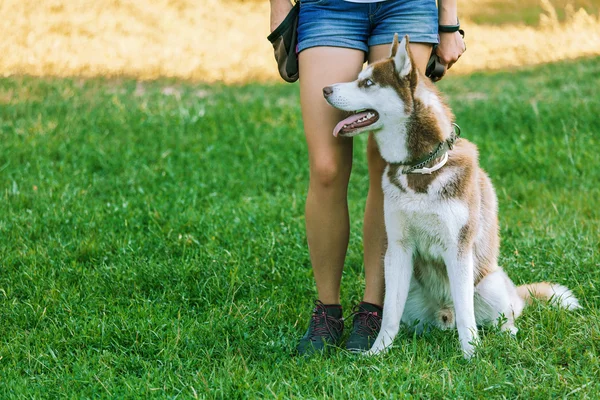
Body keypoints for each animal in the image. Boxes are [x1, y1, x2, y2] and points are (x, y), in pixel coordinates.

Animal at [326, 35, 580, 360]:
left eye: (367, 82)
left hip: (490, 283)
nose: (325, 89)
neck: (420, 166)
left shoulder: (458, 249)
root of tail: (443, 316)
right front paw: (378, 351)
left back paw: (507, 333)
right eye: (359, 77)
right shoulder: (398, 249)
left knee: (506, 314)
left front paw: (472, 355)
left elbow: (466, 313)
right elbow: (390, 314)